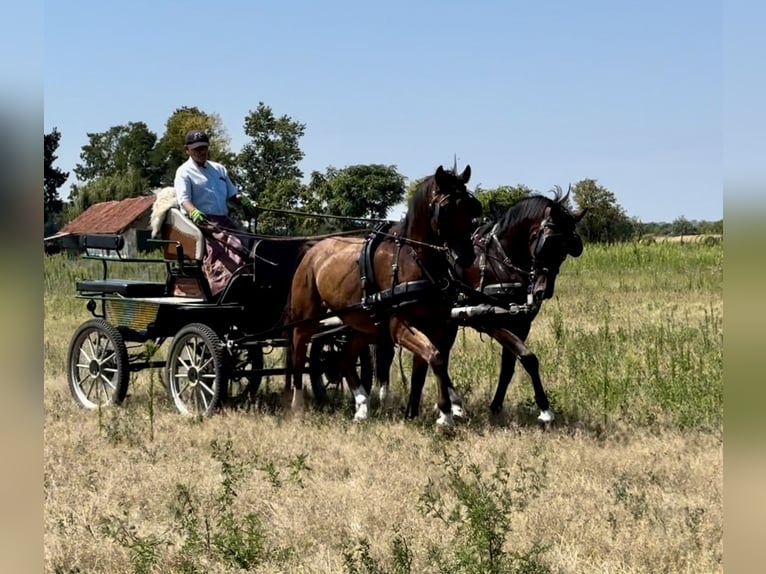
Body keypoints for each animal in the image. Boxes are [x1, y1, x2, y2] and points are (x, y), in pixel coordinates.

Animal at [284, 164, 484, 430]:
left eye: (472, 207)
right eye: (446, 209)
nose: (465, 257)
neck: (415, 260)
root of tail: (313, 249)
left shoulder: (436, 325)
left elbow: (425, 368)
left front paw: (419, 413)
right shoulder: (400, 327)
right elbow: (436, 358)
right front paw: (445, 414)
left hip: (364, 325)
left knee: (344, 358)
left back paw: (362, 406)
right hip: (306, 319)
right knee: (298, 354)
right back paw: (297, 406)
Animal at [378, 189, 588, 424]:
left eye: (569, 247)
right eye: (545, 242)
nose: (543, 291)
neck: (501, 261)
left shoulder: (521, 324)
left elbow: (510, 367)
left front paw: (496, 406)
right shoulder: (492, 320)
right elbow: (528, 358)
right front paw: (545, 410)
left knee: (438, 354)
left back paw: (452, 404)